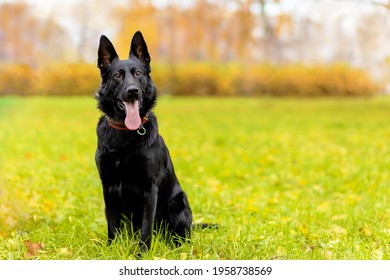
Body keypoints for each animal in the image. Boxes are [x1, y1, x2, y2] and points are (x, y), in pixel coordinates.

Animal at [94, 31, 192, 250]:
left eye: (138, 73)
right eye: (117, 75)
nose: (133, 91)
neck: (125, 133)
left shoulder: (150, 189)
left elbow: (147, 228)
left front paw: (142, 253)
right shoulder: (108, 187)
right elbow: (112, 225)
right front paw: (111, 250)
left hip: (178, 203)